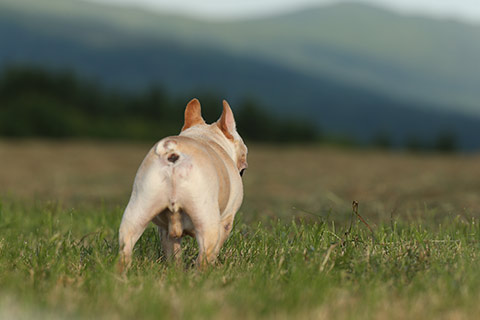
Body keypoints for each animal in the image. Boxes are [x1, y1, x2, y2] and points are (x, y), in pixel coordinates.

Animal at [117, 99, 248, 272]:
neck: (205, 136)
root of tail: (172, 152)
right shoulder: (226, 220)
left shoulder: (165, 231)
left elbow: (173, 251)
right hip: (206, 219)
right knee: (205, 256)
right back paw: (204, 275)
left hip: (138, 208)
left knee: (126, 247)